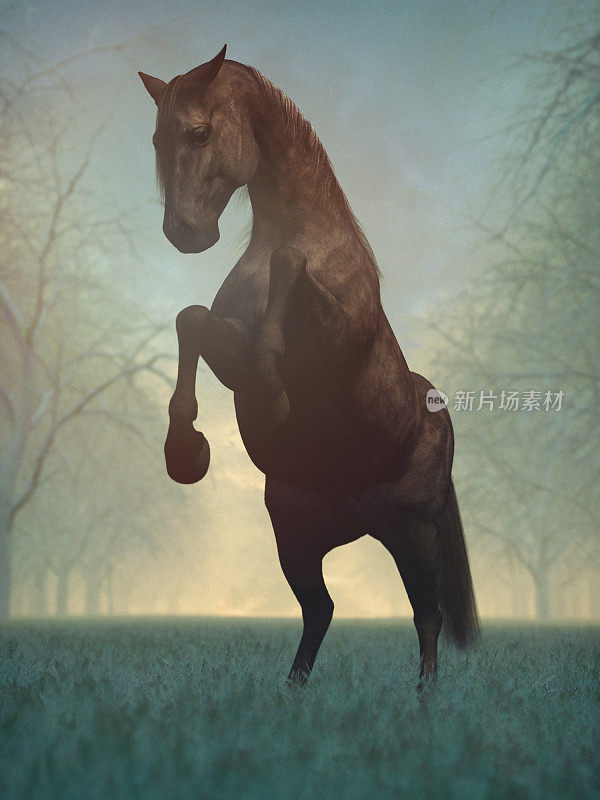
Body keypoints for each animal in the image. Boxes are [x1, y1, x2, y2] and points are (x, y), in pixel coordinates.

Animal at [139, 45, 478, 688]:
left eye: (199, 132)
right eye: (154, 138)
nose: (183, 232)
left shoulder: (332, 338)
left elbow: (289, 266)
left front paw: (274, 396)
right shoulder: (229, 350)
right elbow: (191, 320)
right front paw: (185, 451)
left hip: (413, 533)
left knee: (427, 616)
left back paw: (425, 700)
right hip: (295, 537)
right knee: (321, 610)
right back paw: (293, 694)